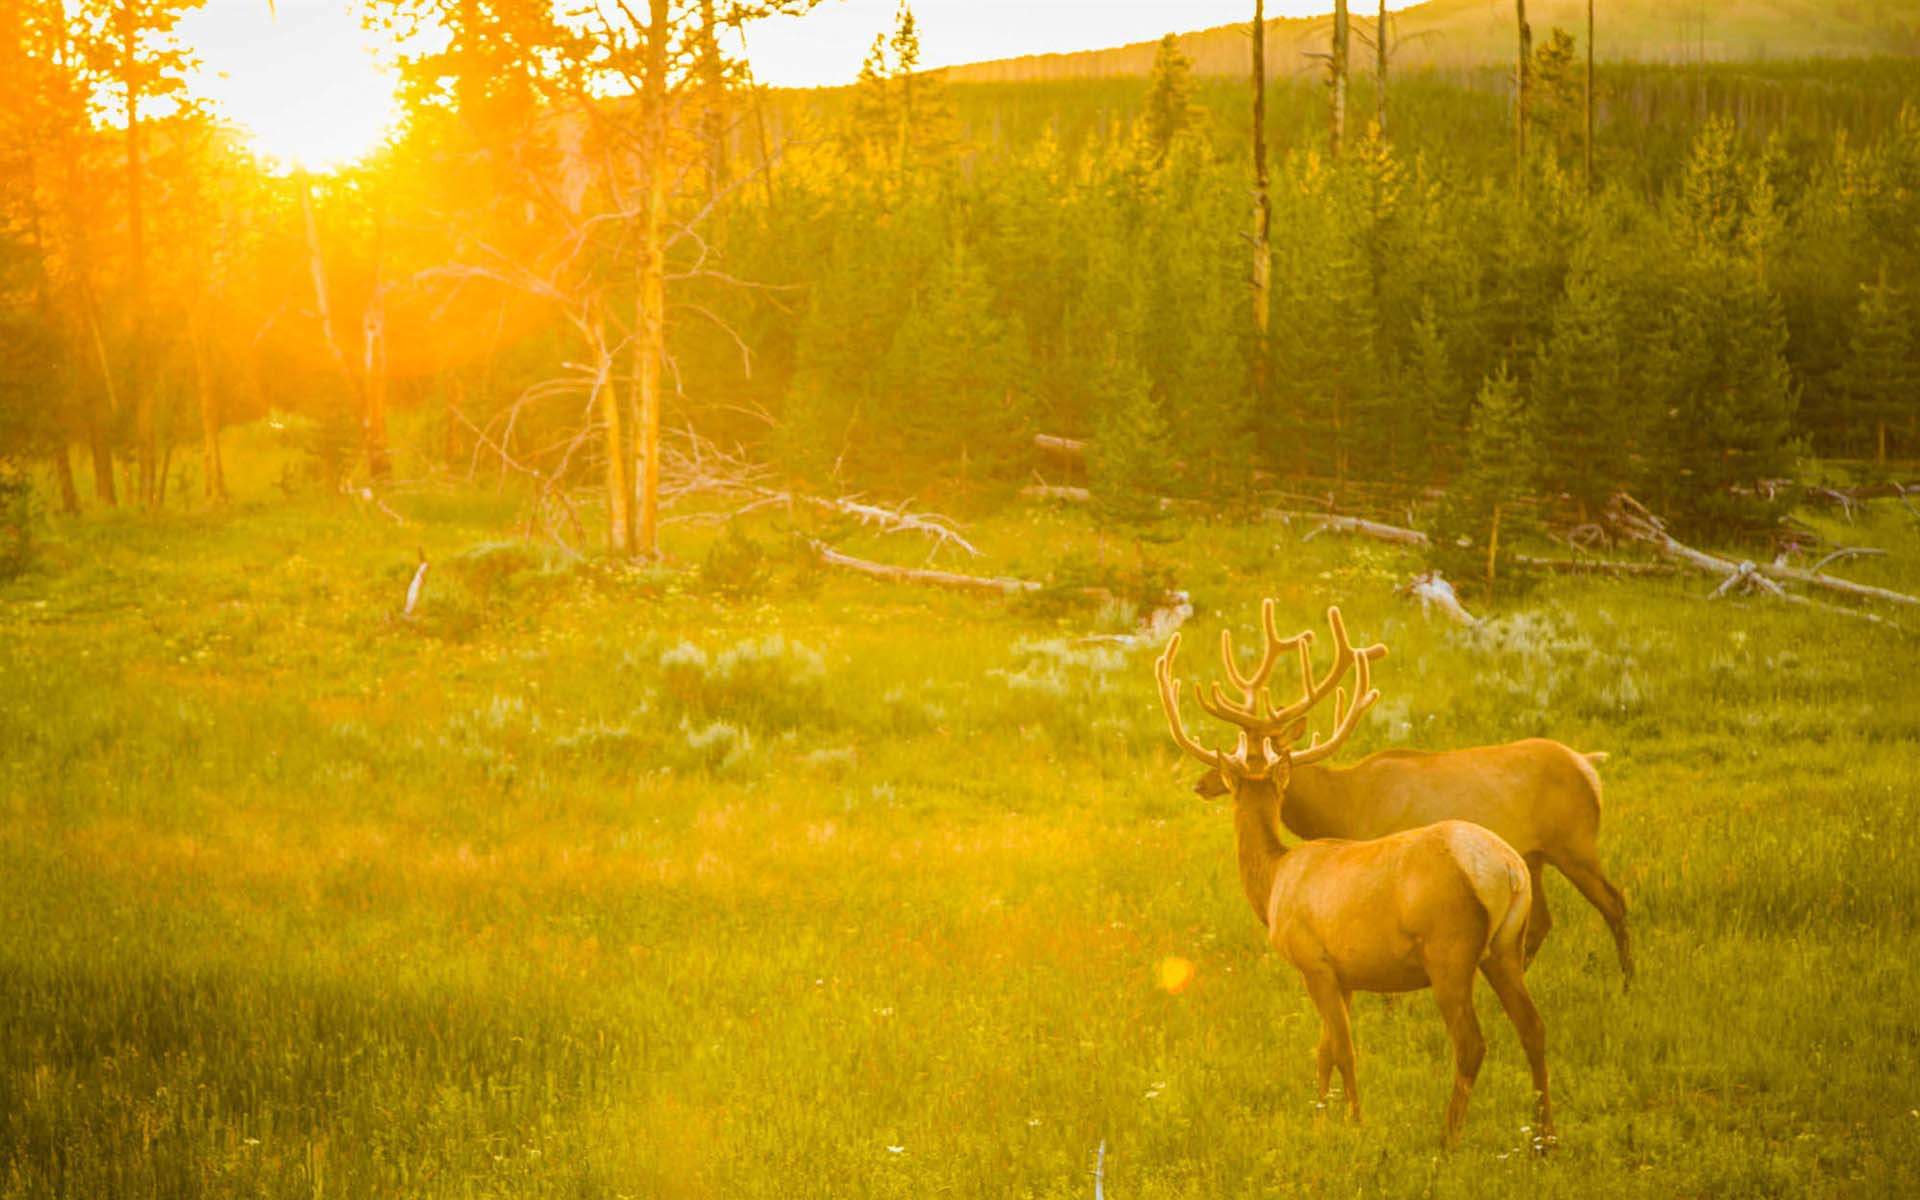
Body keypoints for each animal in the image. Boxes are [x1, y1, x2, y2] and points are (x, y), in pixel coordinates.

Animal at [1156, 606, 1552, 1146]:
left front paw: (1355, 1122)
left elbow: (1343, 1049)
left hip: (1450, 948)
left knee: (1471, 1042)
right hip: (1507, 946)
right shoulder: (1341, 975)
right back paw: (1544, 1138)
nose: (1200, 783)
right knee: (1533, 1027)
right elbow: (1323, 1050)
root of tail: (1507, 870)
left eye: (1230, 763)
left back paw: (1447, 1138)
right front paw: (1320, 1117)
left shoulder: (1314, 960)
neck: (1273, 881)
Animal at [1188, 600, 1631, 987]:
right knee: (1541, 922)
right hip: (1534, 856)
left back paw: (1628, 983)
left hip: (1575, 842)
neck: (1341, 804)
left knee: (1614, 902)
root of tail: (1589, 766)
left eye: (1247, 752)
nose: (1202, 783)